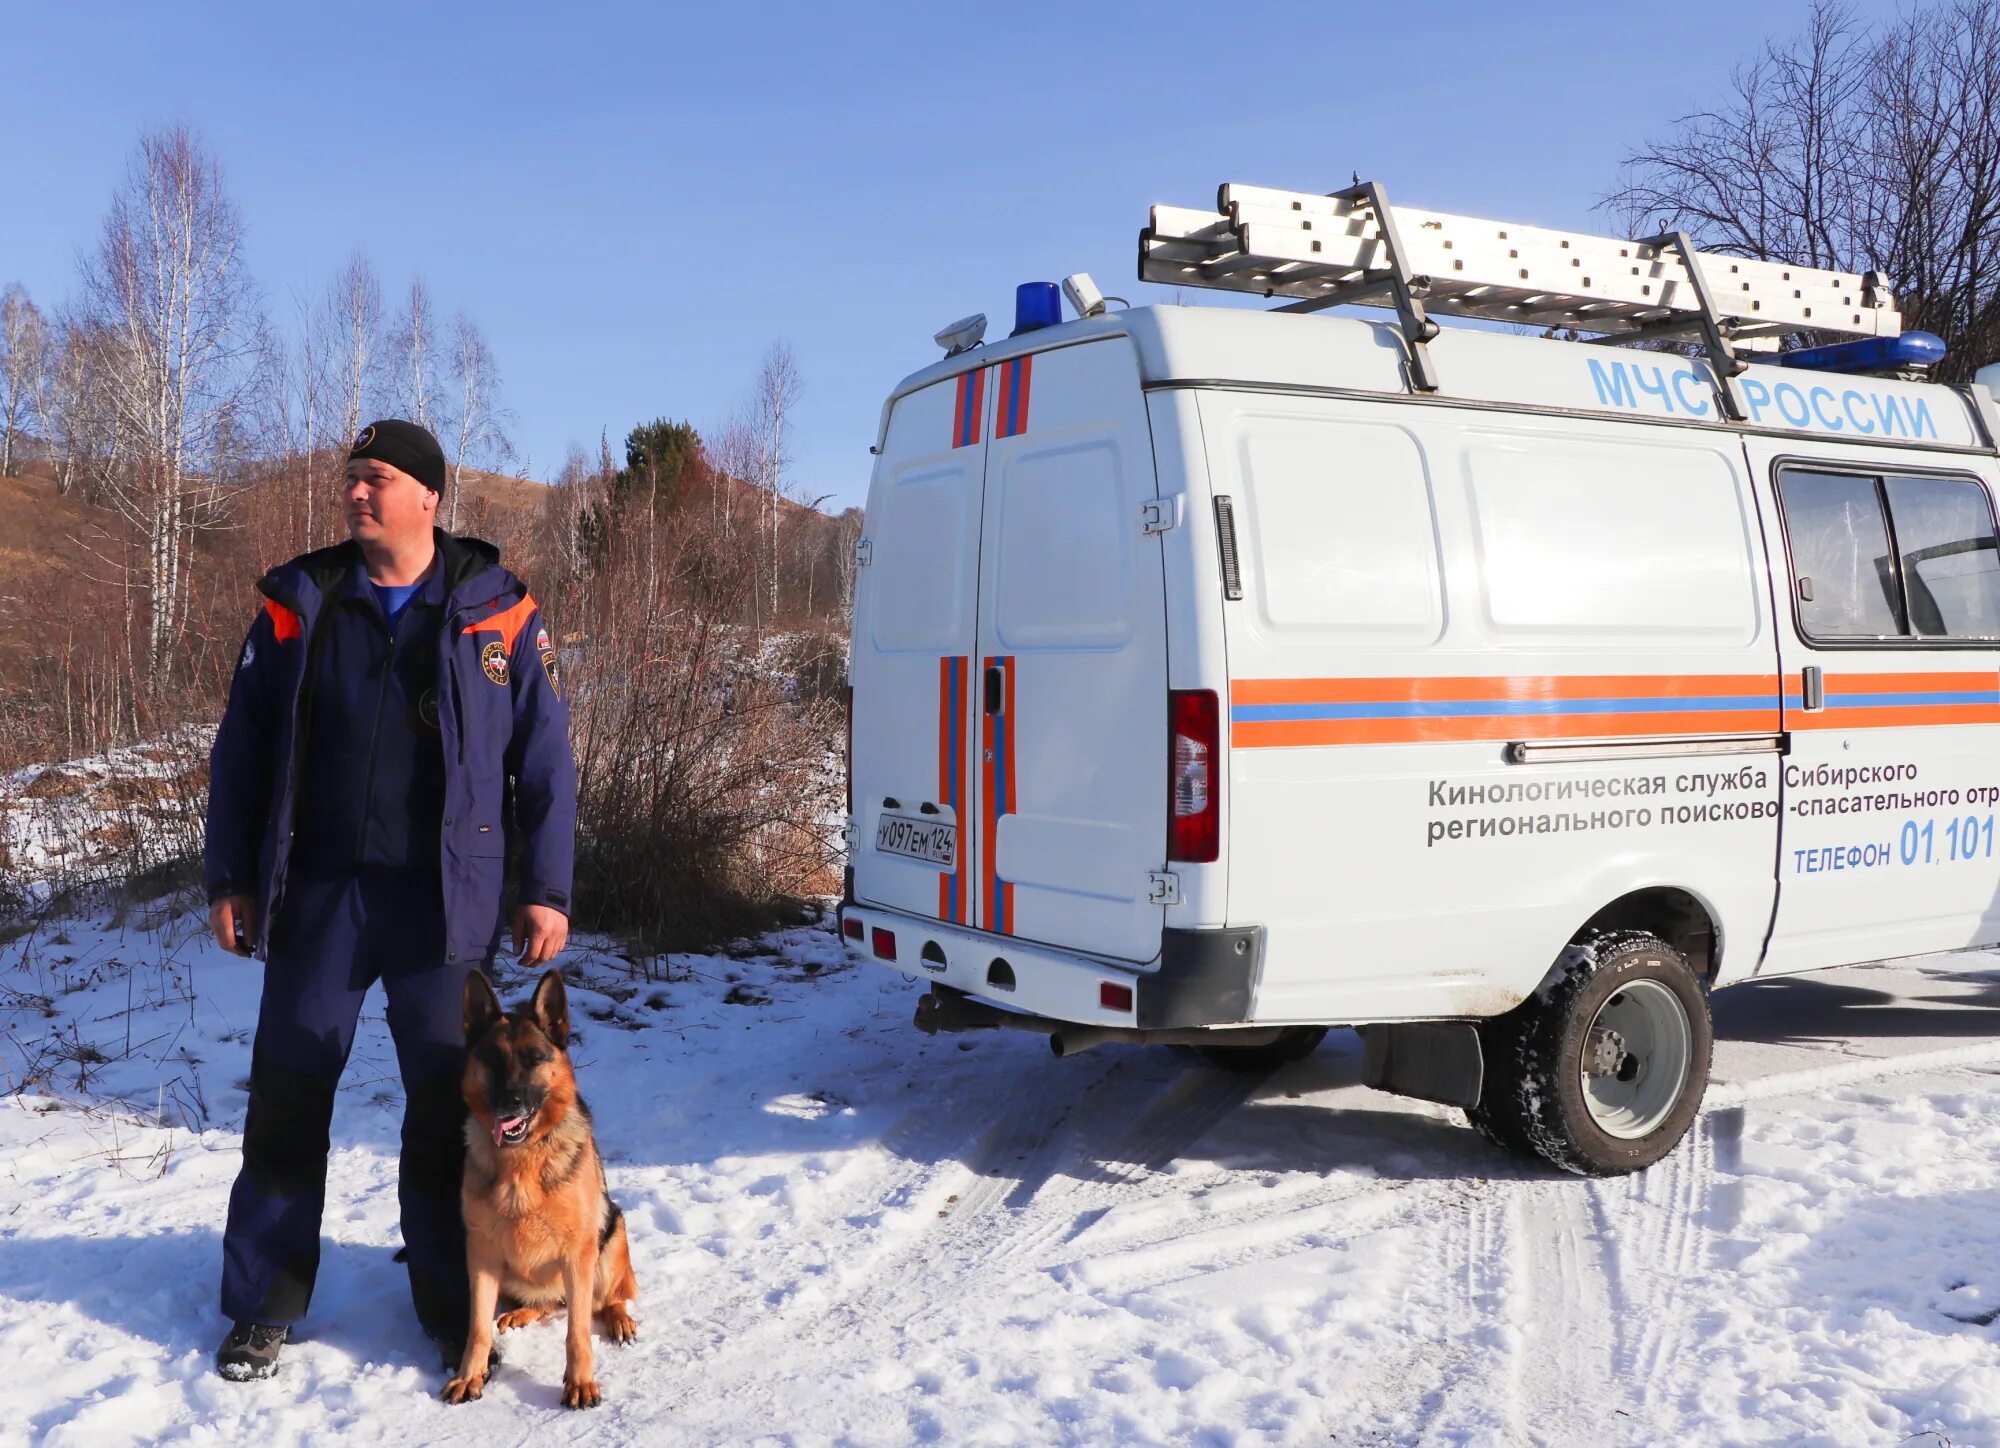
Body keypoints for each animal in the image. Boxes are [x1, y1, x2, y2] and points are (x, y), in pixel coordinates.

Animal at [446, 968, 640, 1408]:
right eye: (492, 1059)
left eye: (535, 1059)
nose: (510, 1103)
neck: (523, 1160)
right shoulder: (479, 1254)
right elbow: (477, 1327)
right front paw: (470, 1376)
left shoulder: (578, 1253)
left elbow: (578, 1330)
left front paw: (580, 1382)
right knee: (549, 1304)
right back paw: (520, 1312)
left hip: (611, 1235)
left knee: (605, 1300)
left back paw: (620, 1320)